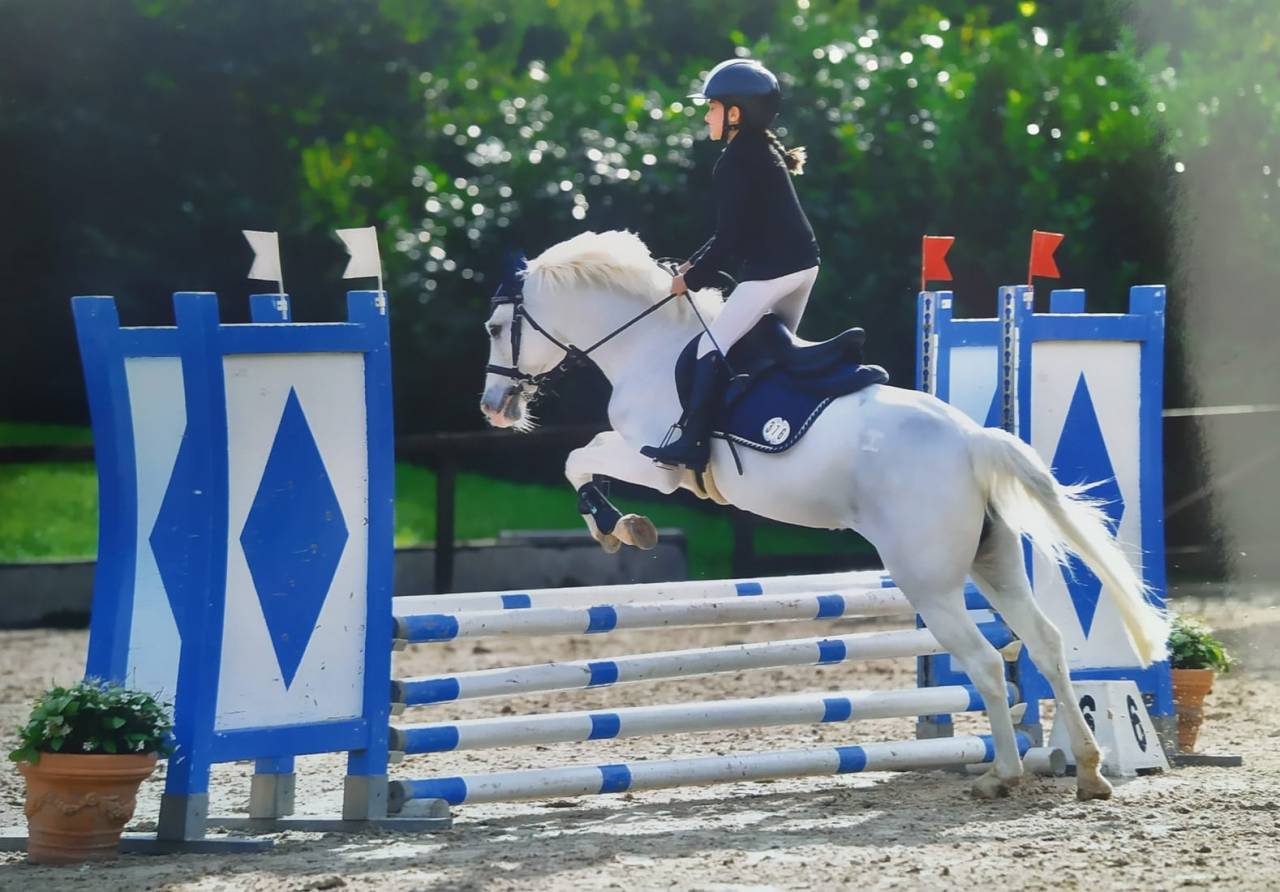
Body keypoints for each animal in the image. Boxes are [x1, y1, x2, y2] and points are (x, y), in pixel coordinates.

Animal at [478, 230, 1168, 801]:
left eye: (493, 326)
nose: (493, 407)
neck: (647, 344)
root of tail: (972, 440)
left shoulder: (659, 465)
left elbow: (579, 458)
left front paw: (616, 525)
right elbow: (583, 455)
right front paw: (621, 524)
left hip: (930, 584)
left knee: (987, 664)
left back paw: (1001, 774)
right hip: (993, 563)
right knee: (1046, 644)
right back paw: (1087, 769)